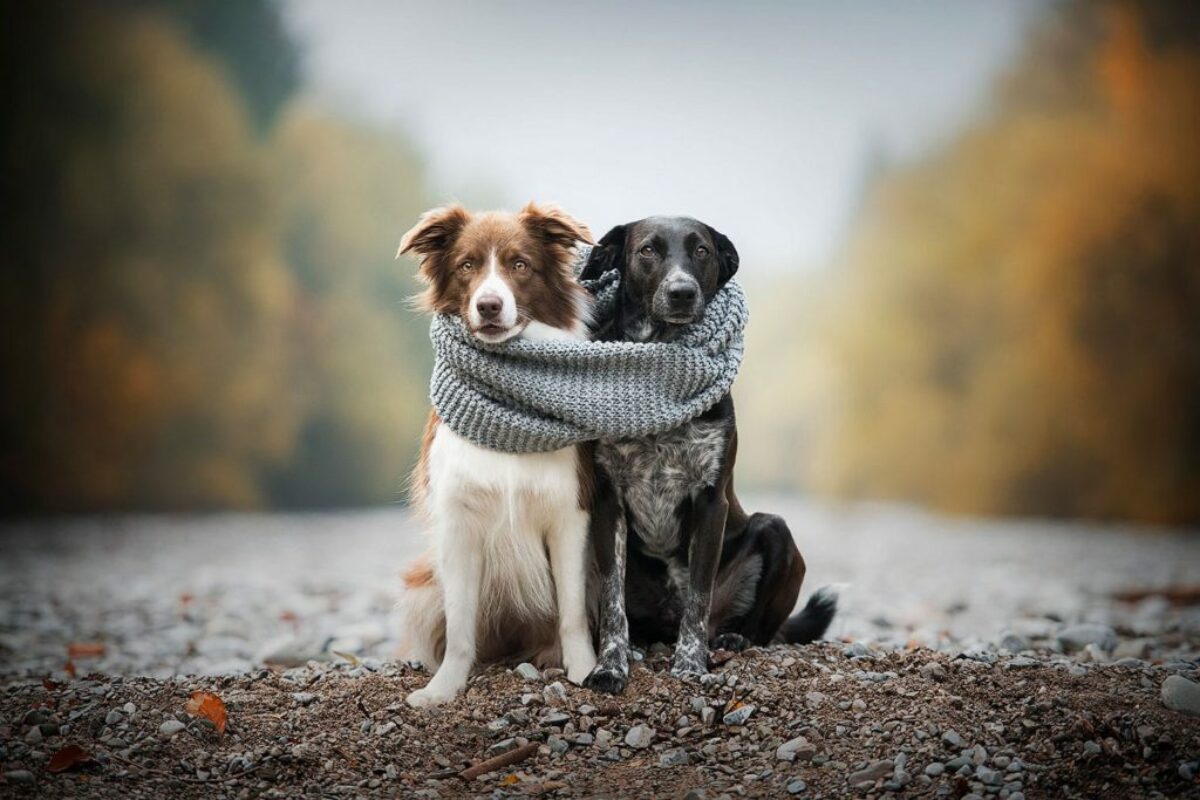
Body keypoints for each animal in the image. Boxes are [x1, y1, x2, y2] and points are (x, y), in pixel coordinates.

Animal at [396, 203, 597, 710]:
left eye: (519, 264)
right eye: (467, 265)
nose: (489, 305)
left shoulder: (569, 516)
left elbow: (572, 613)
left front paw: (585, 670)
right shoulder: (458, 525)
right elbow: (460, 627)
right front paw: (444, 688)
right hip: (422, 584)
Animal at [580, 215, 835, 690]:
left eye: (702, 251)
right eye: (647, 250)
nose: (682, 292)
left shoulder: (710, 502)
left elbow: (698, 598)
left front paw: (689, 664)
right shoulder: (608, 502)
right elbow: (612, 601)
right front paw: (610, 666)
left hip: (775, 531)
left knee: (759, 629)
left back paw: (733, 639)